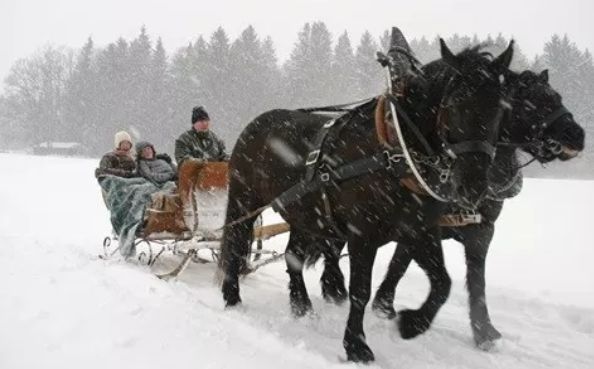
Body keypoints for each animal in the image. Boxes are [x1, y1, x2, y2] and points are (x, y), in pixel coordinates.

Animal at [220, 39, 512, 360]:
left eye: (501, 109)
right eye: (455, 103)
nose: (474, 185)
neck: (396, 150)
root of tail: (256, 122)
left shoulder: (418, 230)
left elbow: (442, 283)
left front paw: (412, 324)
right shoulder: (363, 234)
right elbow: (360, 290)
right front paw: (356, 345)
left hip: (305, 214)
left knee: (292, 255)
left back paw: (301, 306)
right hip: (244, 198)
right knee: (236, 242)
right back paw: (232, 296)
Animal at [308, 67, 584, 348]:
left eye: (557, 97)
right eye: (532, 103)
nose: (577, 135)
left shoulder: (480, 231)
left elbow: (476, 281)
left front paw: (484, 331)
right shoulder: (417, 228)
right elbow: (403, 267)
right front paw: (395, 312)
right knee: (330, 245)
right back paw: (334, 288)